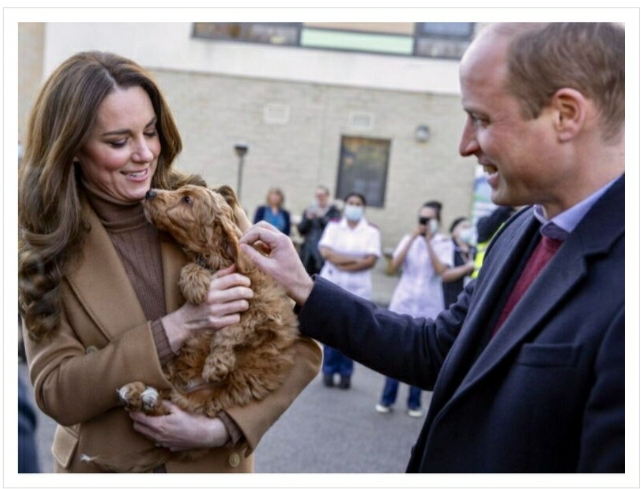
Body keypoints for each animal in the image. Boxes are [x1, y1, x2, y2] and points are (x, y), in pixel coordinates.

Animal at [82, 185, 298, 470]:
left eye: (187, 199)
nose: (149, 192)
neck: (217, 260)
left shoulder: (265, 311)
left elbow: (232, 329)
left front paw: (216, 364)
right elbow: (190, 269)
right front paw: (195, 284)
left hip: (203, 406)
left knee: (172, 405)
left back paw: (143, 396)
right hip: (175, 370)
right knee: (161, 393)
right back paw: (135, 391)